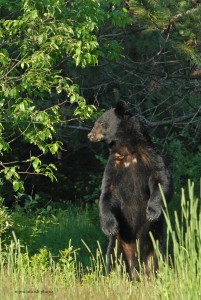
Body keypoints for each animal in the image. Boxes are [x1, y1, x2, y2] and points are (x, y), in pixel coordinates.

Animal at [88, 101, 173, 278]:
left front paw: (152, 212)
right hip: (117, 247)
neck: (127, 150)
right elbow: (107, 195)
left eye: (101, 123)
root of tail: (137, 264)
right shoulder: (113, 167)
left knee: (159, 260)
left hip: (156, 244)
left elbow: (162, 179)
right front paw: (109, 226)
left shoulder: (151, 157)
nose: (90, 135)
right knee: (112, 261)